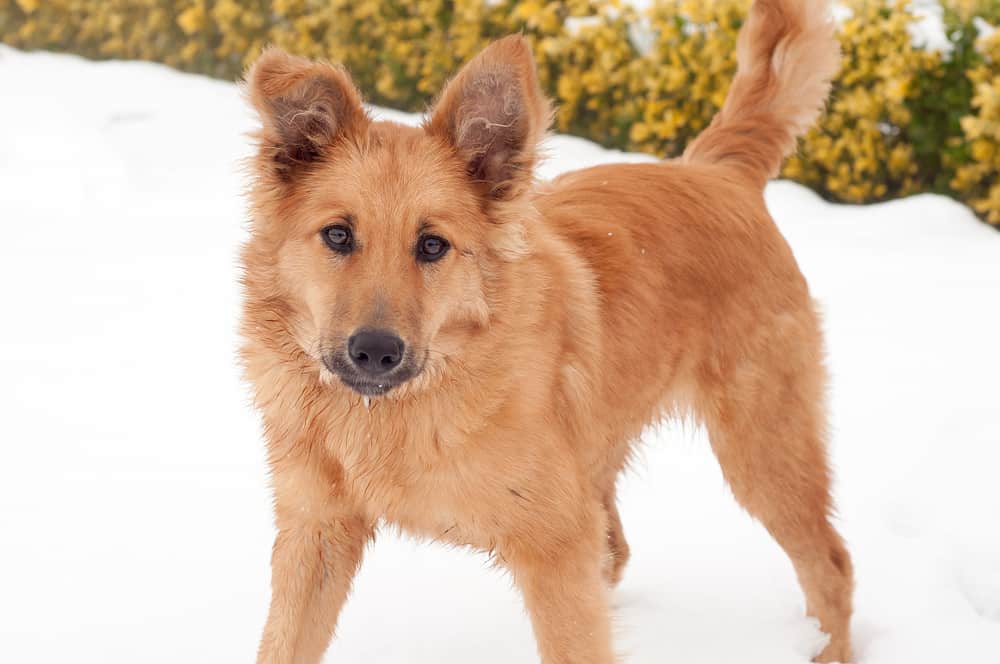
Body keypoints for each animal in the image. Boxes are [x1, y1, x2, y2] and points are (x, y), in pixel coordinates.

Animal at [240, 0, 852, 660]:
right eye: (338, 235)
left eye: (432, 245)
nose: (375, 353)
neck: (402, 411)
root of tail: (717, 171)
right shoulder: (316, 533)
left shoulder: (556, 544)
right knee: (620, 552)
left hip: (763, 450)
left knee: (832, 565)